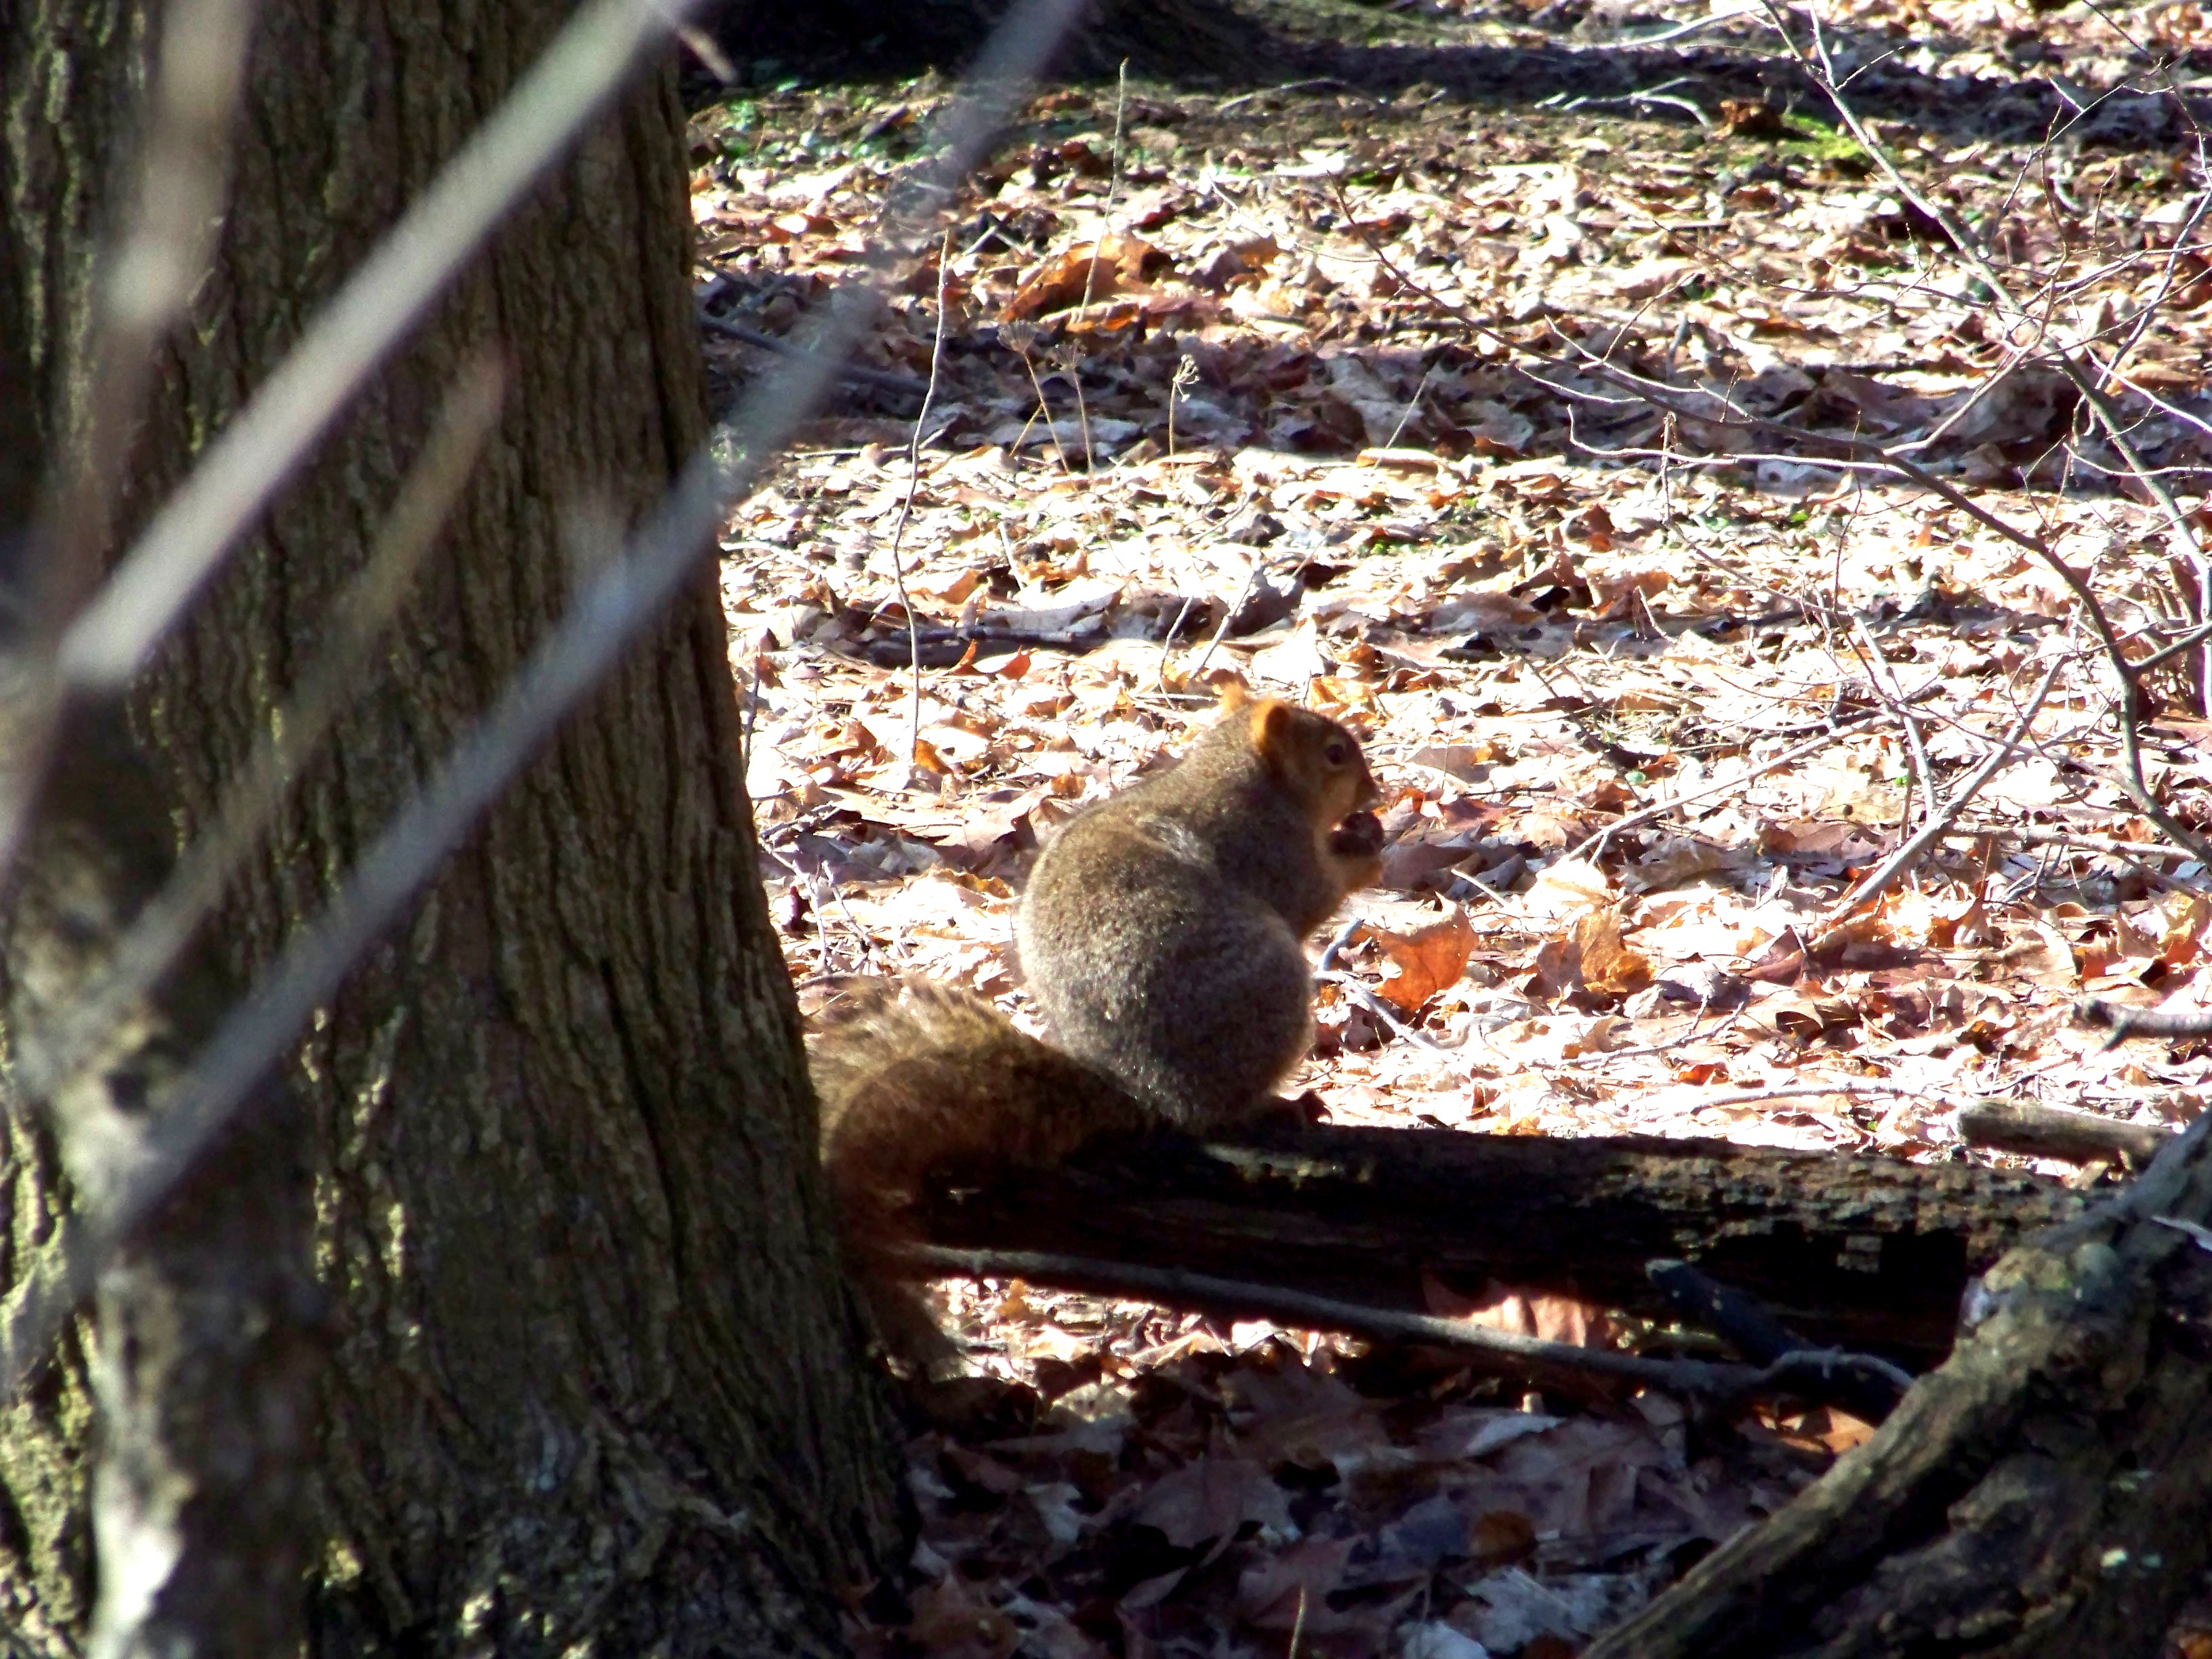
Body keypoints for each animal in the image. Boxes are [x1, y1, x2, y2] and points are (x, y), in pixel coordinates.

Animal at [805, 681, 1371, 1353]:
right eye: (1335, 754)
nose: (1374, 793)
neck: (1240, 772)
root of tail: (1144, 1089)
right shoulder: (1272, 852)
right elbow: (1316, 897)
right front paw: (1368, 851)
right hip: (1269, 989)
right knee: (1220, 1113)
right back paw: (1277, 1104)